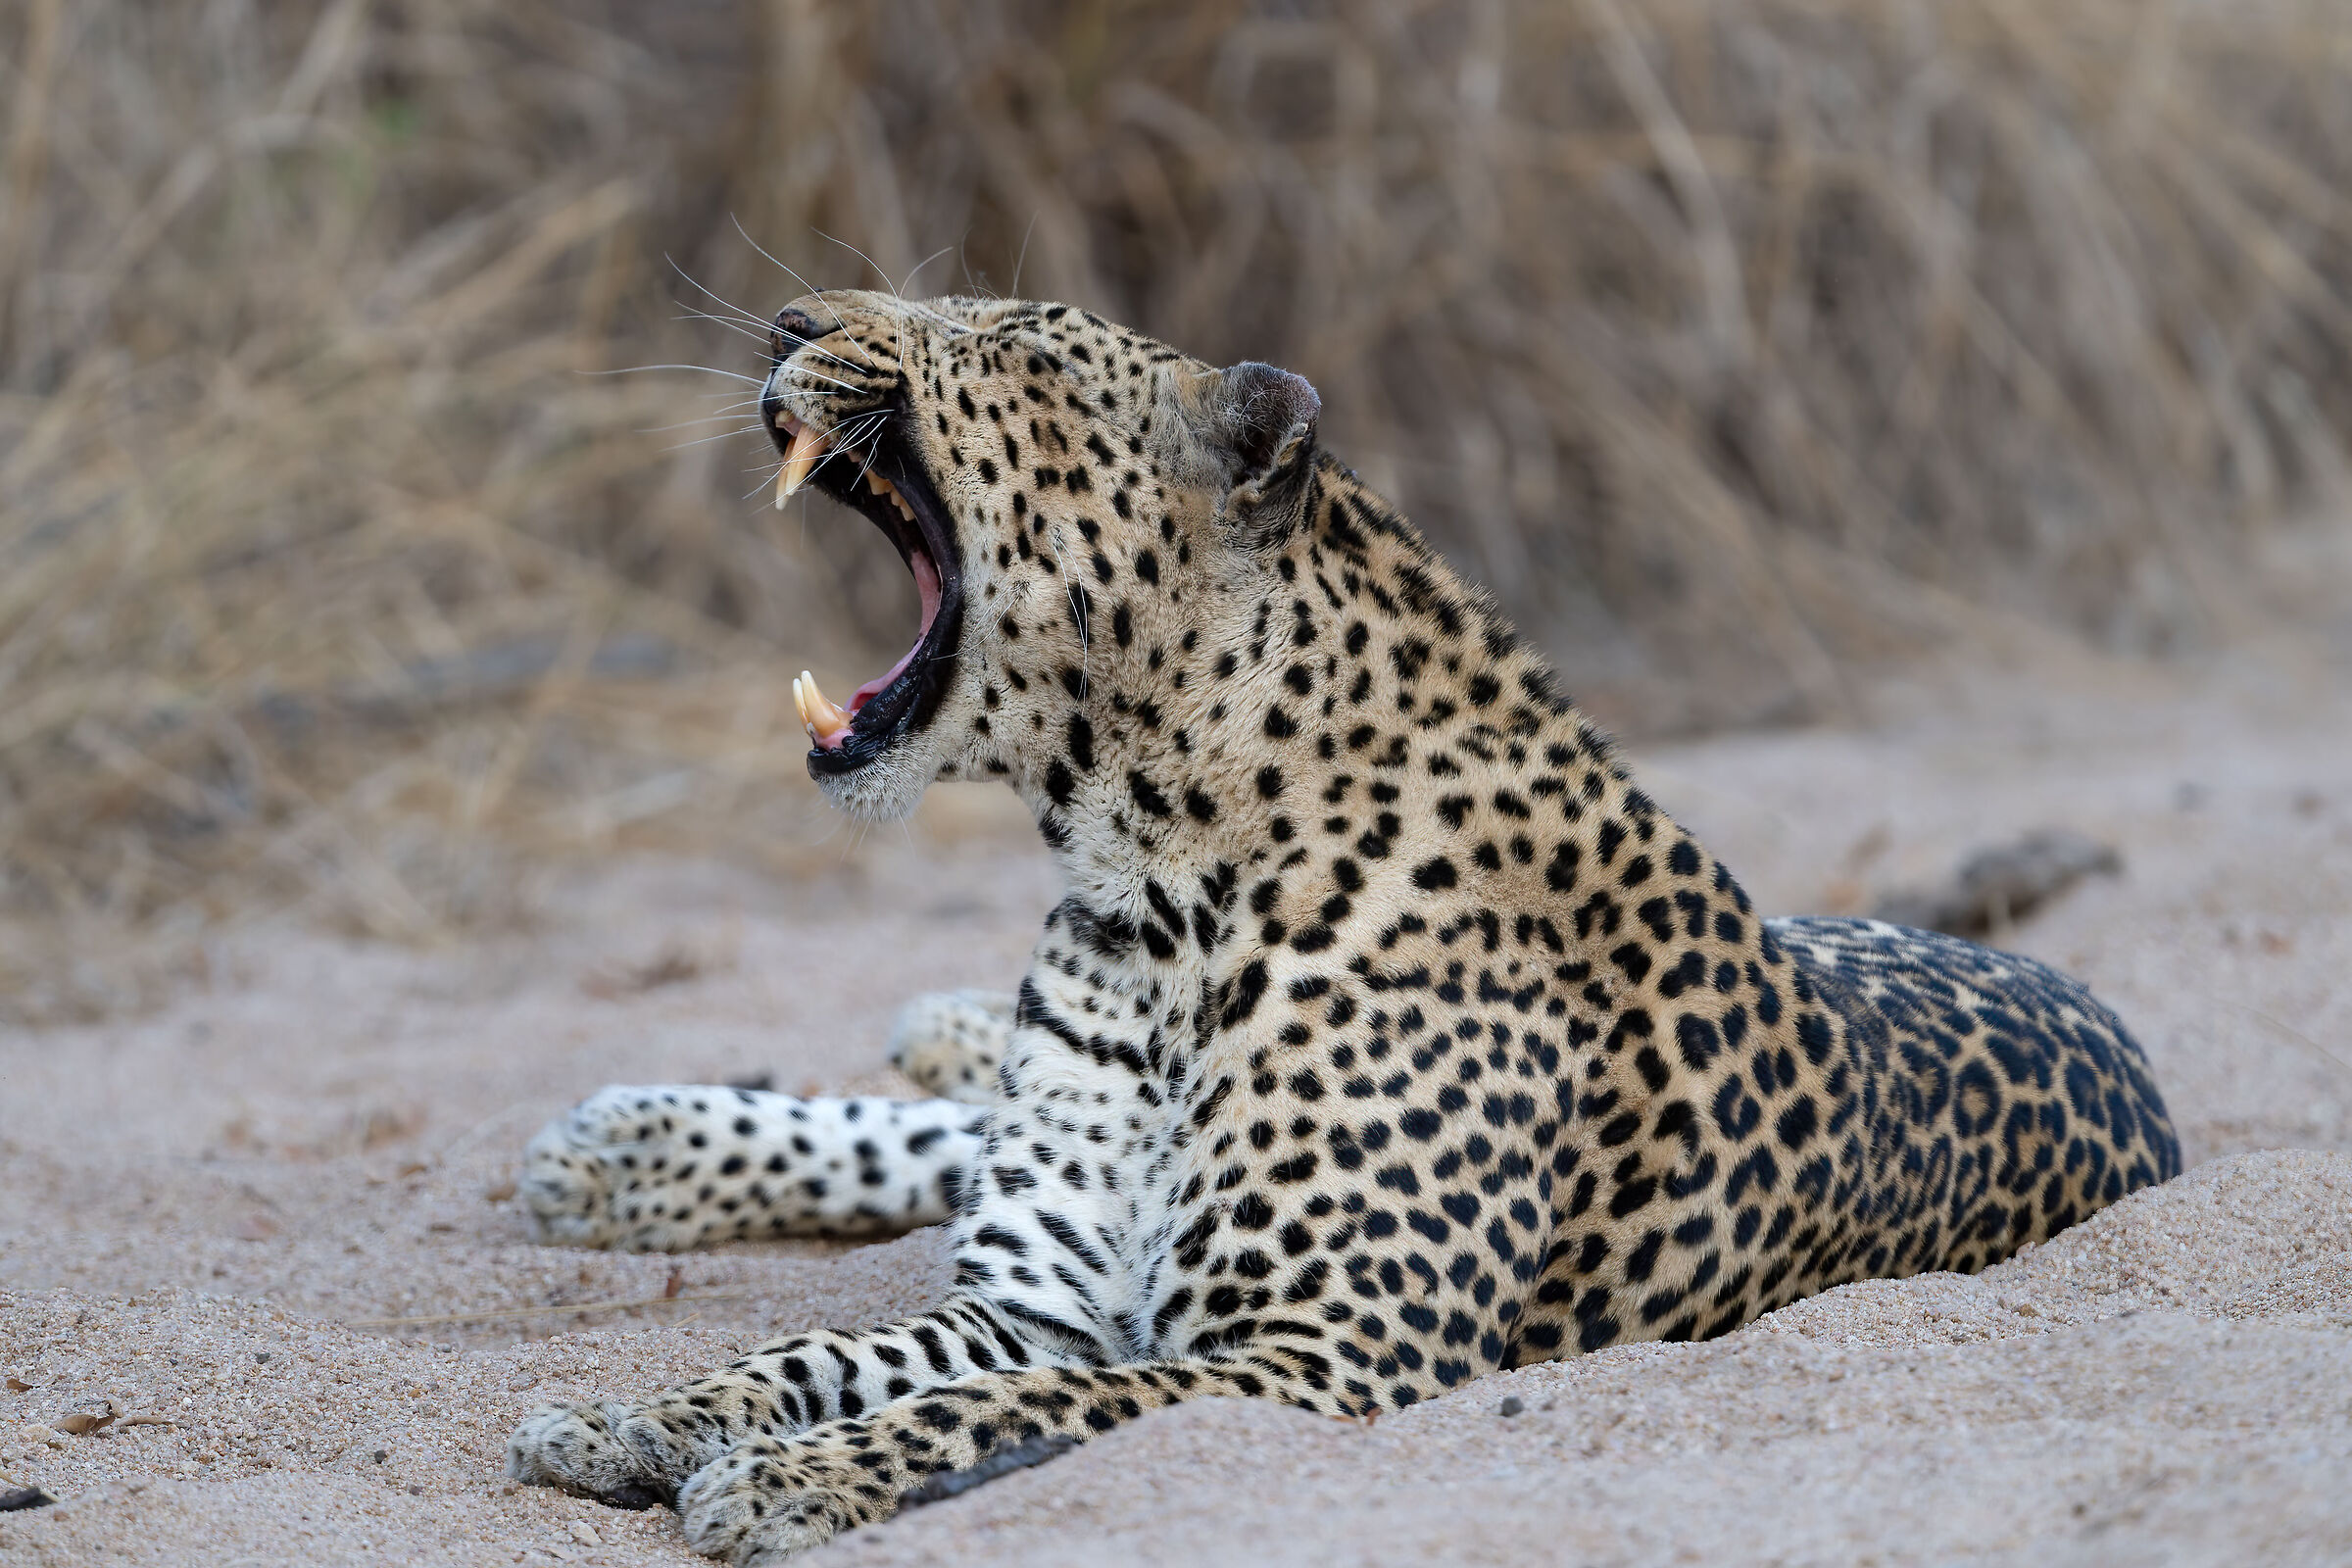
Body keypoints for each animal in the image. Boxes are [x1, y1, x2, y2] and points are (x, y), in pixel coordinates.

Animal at [506, 289, 2180, 1561]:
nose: (789, 319)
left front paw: (789, 1477)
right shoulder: (1034, 1303)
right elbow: (806, 1357)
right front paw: (639, 1414)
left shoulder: (1311, 1358)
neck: (1147, 903)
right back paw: (632, 1146)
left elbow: (994, 1412)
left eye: (1008, 343)